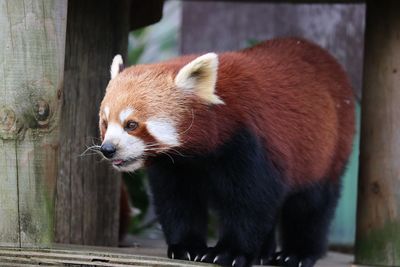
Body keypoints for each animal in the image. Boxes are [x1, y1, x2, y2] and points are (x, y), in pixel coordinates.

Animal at [98, 38, 354, 267]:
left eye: (131, 124)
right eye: (105, 123)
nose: (108, 149)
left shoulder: (247, 143)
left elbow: (249, 202)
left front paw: (229, 252)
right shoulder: (176, 166)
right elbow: (178, 201)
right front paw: (187, 247)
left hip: (327, 150)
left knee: (311, 204)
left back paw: (298, 254)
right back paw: (263, 253)